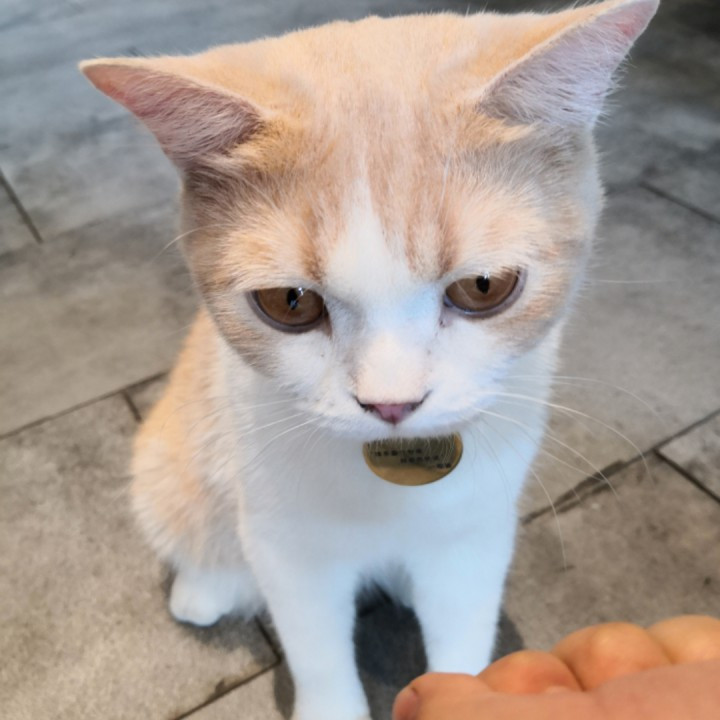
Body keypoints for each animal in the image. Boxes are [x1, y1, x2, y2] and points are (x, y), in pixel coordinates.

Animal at [81, 0, 658, 718]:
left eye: (485, 287)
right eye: (289, 302)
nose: (391, 403)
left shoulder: (473, 535)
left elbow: (462, 634)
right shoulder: (289, 546)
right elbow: (317, 647)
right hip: (175, 454)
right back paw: (205, 587)